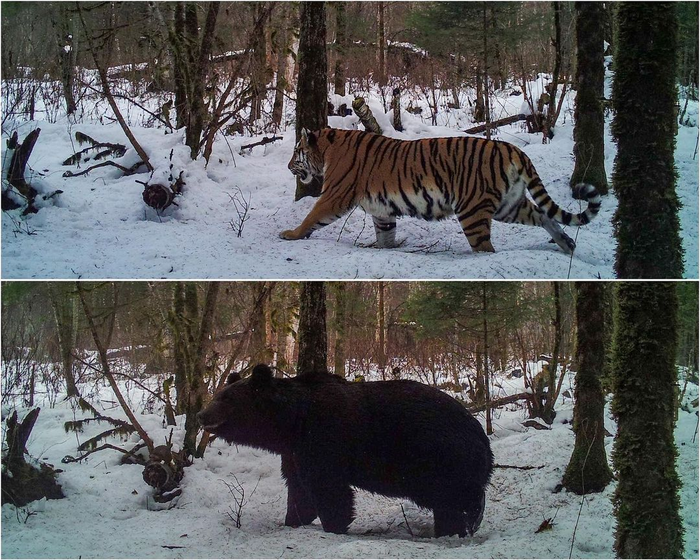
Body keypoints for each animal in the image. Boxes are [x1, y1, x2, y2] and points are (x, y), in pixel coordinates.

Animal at [198, 364, 493, 538]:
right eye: (217, 394)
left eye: (226, 398)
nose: (201, 415)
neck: (292, 421)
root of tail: (479, 431)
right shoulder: (295, 451)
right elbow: (298, 487)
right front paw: (293, 519)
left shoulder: (324, 439)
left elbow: (329, 488)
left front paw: (334, 525)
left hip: (438, 457)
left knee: (456, 497)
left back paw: (463, 524)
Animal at [280, 128, 601, 254]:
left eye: (296, 152)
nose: (287, 165)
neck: (328, 149)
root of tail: (513, 149)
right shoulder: (382, 209)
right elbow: (385, 234)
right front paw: (384, 249)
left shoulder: (335, 195)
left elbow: (312, 216)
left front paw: (291, 234)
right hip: (509, 206)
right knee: (543, 215)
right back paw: (567, 244)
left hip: (472, 210)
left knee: (485, 247)